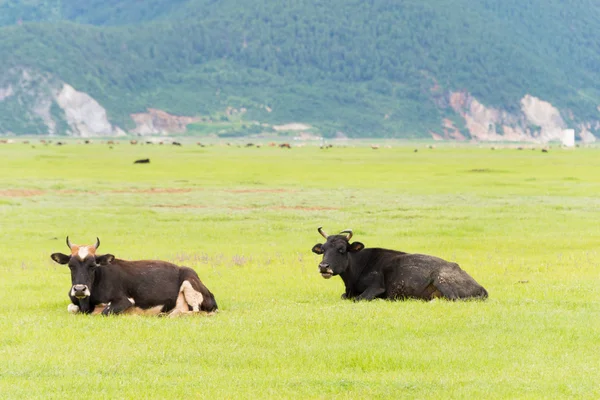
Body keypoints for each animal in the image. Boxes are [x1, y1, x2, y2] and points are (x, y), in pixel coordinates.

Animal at [49, 238, 218, 316]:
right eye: (71, 265)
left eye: (93, 265)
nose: (79, 289)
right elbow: (71, 308)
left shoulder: (125, 300)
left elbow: (104, 311)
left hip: (189, 285)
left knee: (195, 311)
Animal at [310, 227, 488, 302]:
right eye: (323, 249)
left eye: (341, 249)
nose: (324, 267)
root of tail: (481, 288)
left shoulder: (376, 287)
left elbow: (359, 298)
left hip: (442, 280)